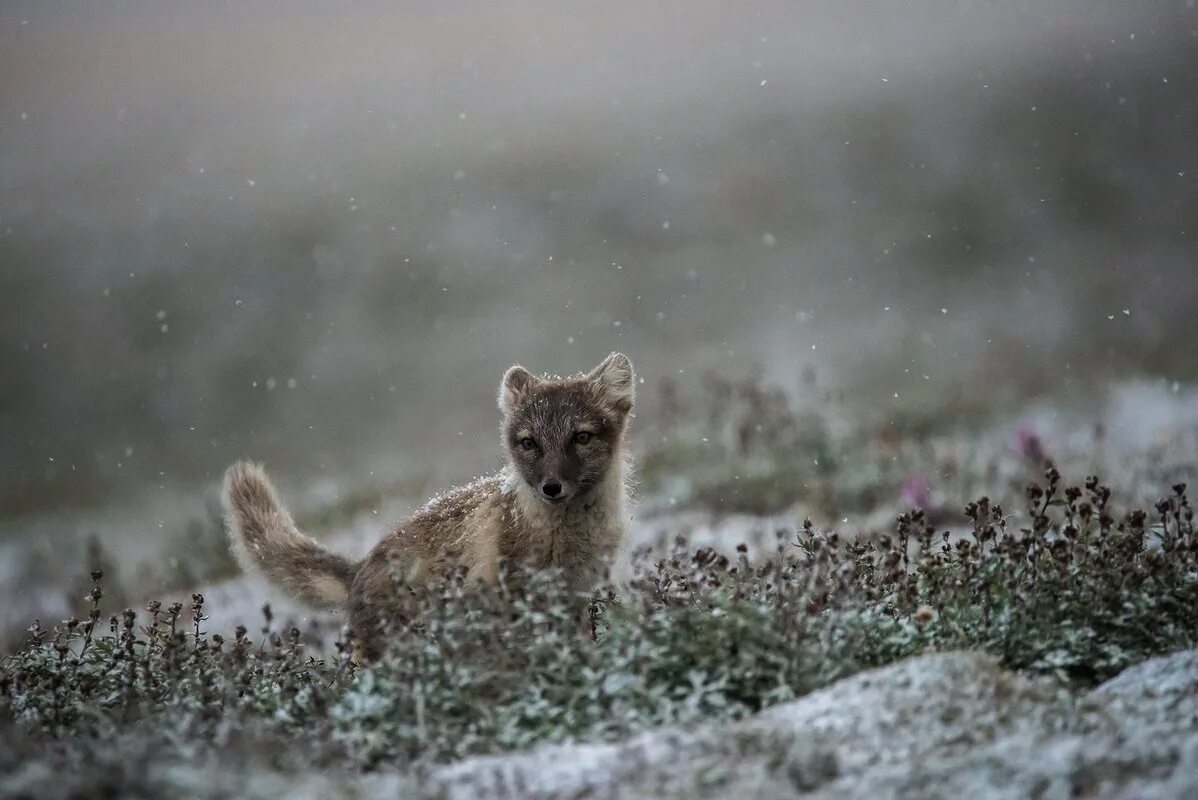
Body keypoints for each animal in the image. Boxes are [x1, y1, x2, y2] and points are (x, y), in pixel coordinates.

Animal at [225, 352, 637, 661]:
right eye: (529, 443)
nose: (551, 487)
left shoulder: (579, 594)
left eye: (581, 437)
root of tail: (360, 567)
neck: (567, 536)